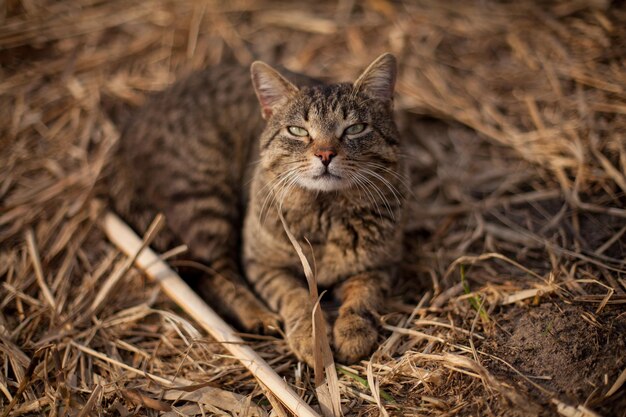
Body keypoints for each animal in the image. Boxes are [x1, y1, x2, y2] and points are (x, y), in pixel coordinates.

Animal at [106, 52, 404, 364]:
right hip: (205, 199)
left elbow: (363, 297)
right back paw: (259, 316)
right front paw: (311, 339)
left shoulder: (382, 266)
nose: (325, 154)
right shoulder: (263, 266)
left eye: (355, 128)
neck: (325, 211)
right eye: (297, 131)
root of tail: (126, 134)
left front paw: (353, 332)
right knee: (214, 274)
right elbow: (296, 298)